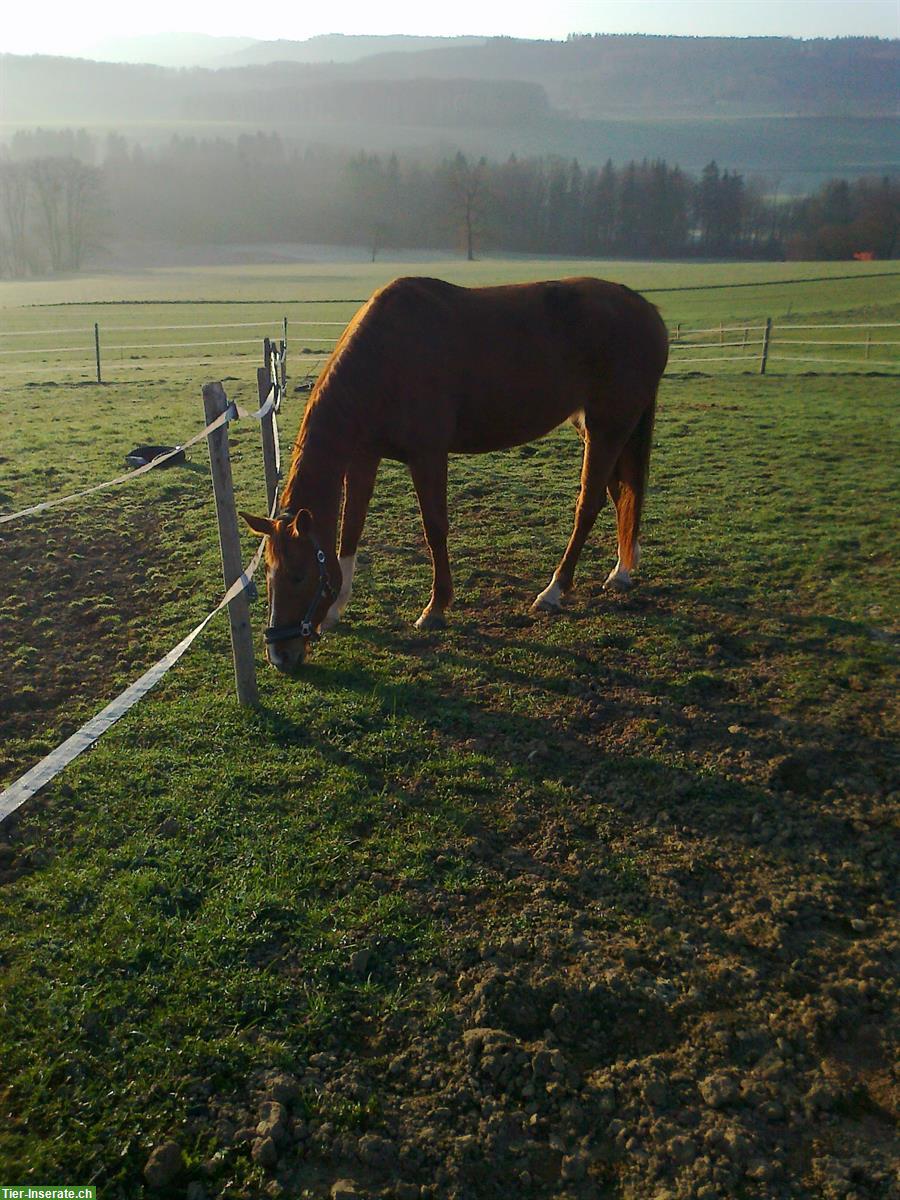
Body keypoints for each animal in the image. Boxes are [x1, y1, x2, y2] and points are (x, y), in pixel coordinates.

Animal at [241, 278, 672, 676]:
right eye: (268, 575)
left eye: (298, 576)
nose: (280, 656)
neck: (385, 358)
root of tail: (648, 312)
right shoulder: (365, 457)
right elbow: (351, 529)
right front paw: (337, 610)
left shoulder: (428, 456)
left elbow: (434, 528)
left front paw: (435, 607)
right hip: (599, 429)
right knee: (621, 492)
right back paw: (621, 571)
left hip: (607, 430)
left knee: (590, 503)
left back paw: (554, 591)